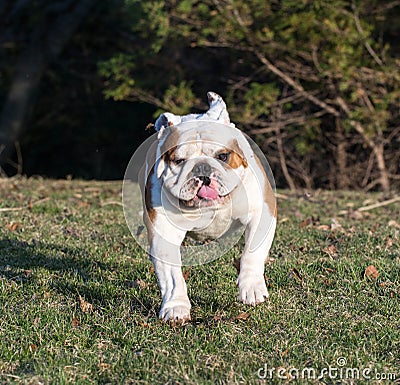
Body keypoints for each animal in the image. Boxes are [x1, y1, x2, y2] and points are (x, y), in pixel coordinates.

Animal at [140, 91, 276, 322]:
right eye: (179, 160)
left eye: (223, 156)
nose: (201, 168)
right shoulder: (163, 232)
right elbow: (172, 276)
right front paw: (176, 307)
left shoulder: (262, 212)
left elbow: (252, 252)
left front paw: (251, 287)